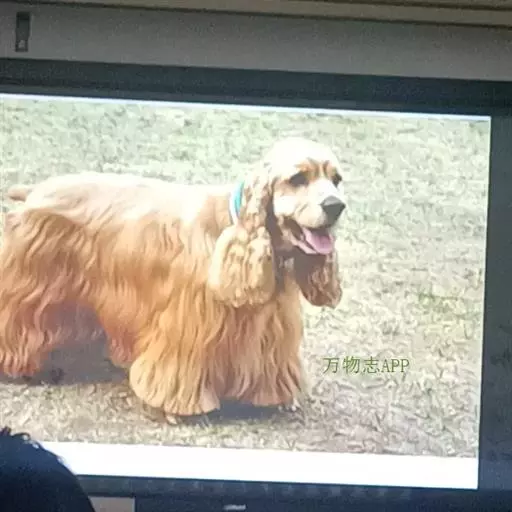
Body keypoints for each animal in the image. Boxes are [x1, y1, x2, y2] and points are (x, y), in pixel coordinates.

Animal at [0, 137, 345, 423]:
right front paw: (175, 408)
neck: (232, 225)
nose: (336, 206)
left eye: (336, 179)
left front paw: (279, 398)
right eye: (297, 178)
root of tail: (34, 192)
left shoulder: (270, 326)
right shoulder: (187, 325)